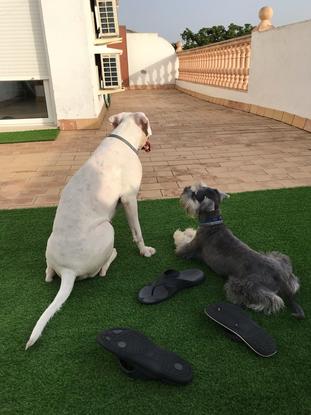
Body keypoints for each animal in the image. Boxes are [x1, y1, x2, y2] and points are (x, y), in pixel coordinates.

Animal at [26, 112, 157, 350]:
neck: (122, 138)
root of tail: (68, 270)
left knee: (48, 274)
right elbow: (138, 232)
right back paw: (112, 255)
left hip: (51, 248)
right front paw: (145, 251)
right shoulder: (129, 199)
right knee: (100, 271)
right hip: (107, 229)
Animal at [174, 182, 306, 318]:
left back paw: (253, 304)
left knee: (273, 300)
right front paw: (189, 231)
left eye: (195, 194)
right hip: (278, 257)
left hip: (240, 284)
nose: (185, 188)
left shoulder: (187, 249)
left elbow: (180, 241)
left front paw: (179, 233)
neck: (213, 223)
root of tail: (282, 280)